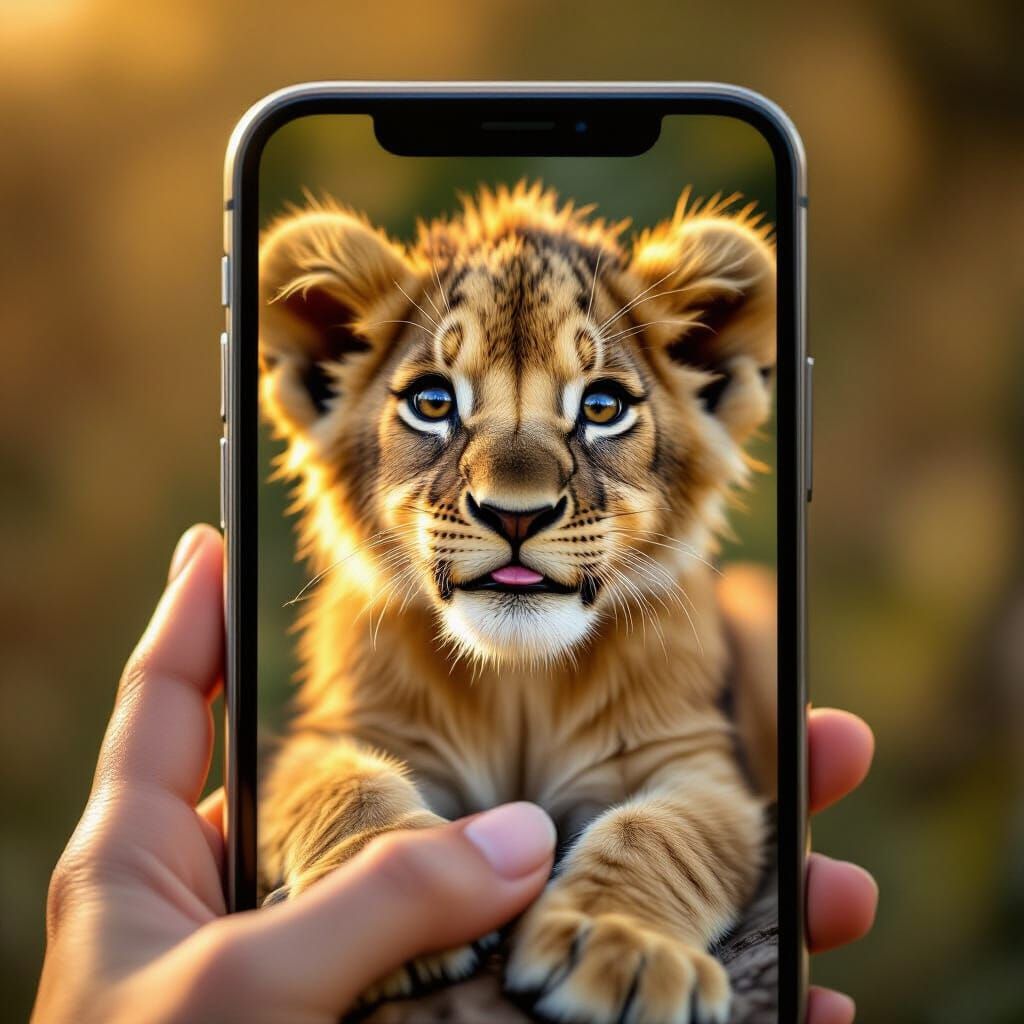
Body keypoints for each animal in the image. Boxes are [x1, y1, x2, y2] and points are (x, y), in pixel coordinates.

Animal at [257, 180, 777, 1024]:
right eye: (433, 401)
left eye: (602, 408)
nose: (515, 514)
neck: (519, 685)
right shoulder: (337, 736)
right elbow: (349, 791)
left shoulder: (700, 763)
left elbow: (659, 833)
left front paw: (619, 949)